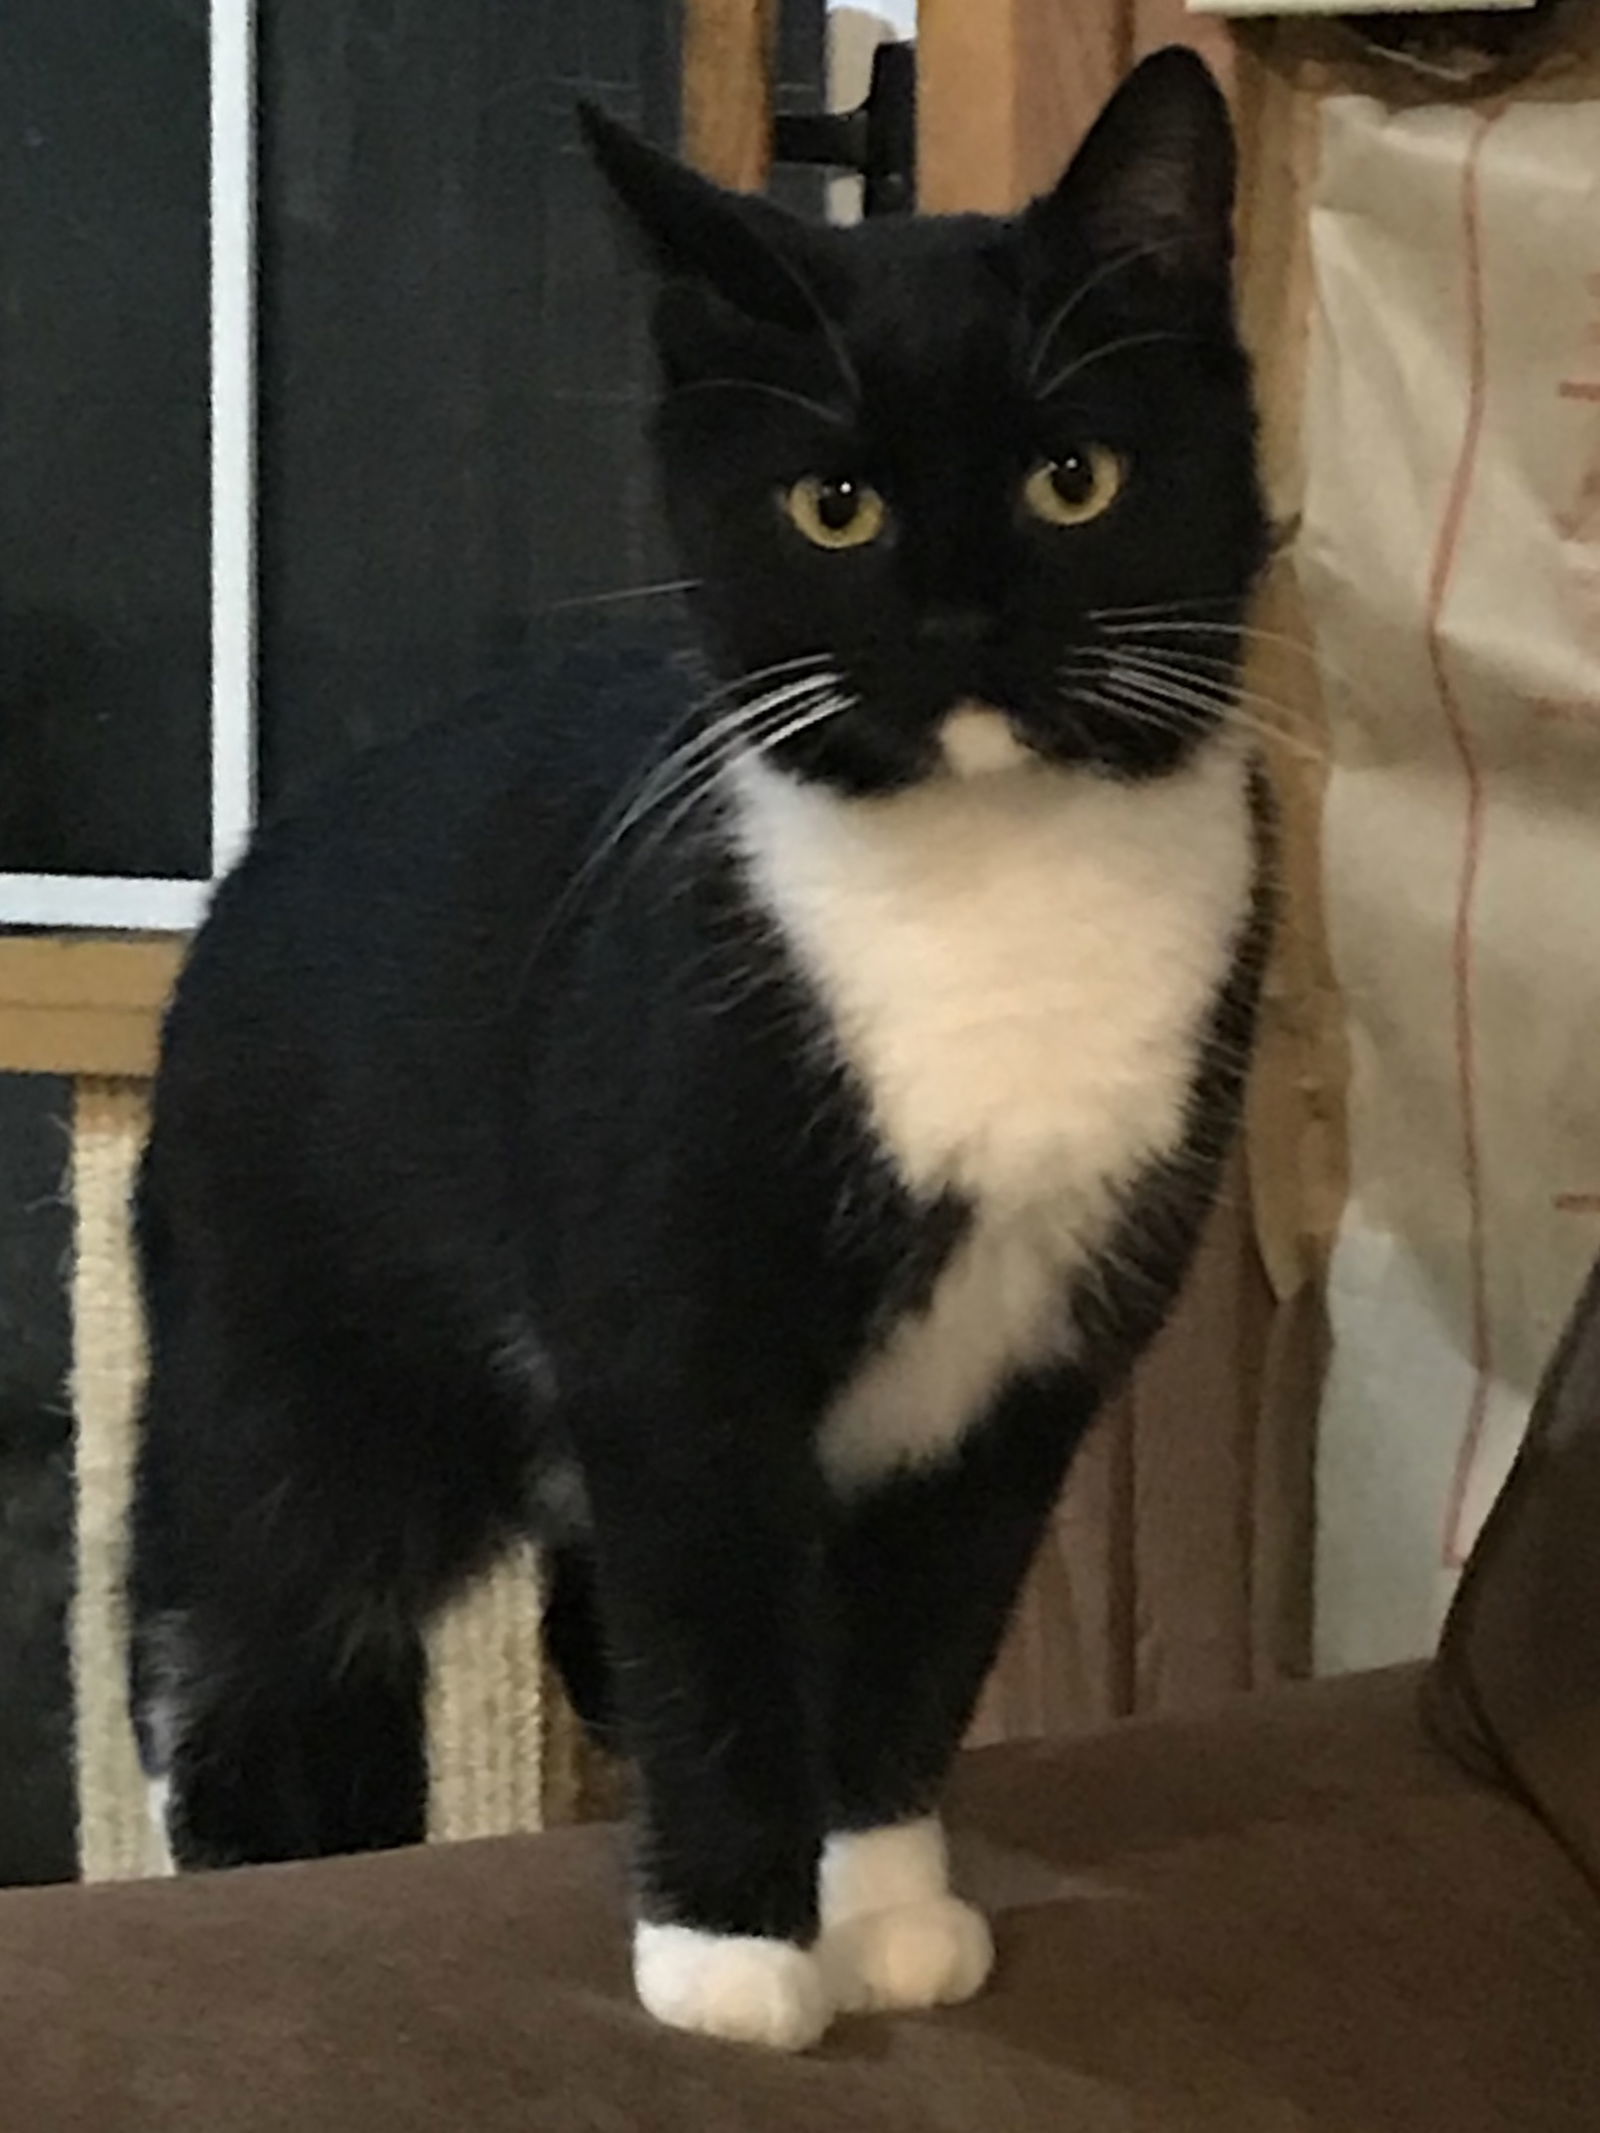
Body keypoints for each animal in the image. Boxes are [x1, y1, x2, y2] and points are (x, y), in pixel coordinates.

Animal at [128, 50, 1280, 2047]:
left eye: (1074, 479)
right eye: (833, 508)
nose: (959, 620)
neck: (993, 880)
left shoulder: (1028, 1368)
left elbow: (919, 1644)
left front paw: (883, 1904)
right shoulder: (674, 1335)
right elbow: (723, 1631)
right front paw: (733, 1954)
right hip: (301, 1354)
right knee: (248, 1630)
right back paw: (254, 1866)